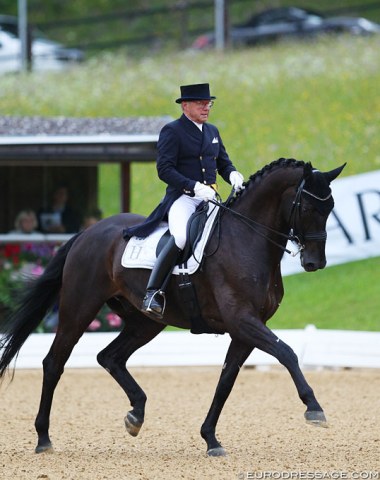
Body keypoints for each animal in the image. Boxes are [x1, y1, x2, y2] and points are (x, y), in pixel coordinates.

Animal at [0, 158, 344, 458]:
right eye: (308, 207)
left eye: (330, 208)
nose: (315, 262)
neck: (247, 238)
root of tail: (87, 232)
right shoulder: (243, 320)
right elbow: (287, 352)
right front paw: (314, 408)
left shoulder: (245, 329)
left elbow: (226, 380)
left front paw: (211, 439)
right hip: (79, 307)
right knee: (54, 363)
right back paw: (43, 438)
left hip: (146, 321)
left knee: (110, 357)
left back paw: (136, 415)